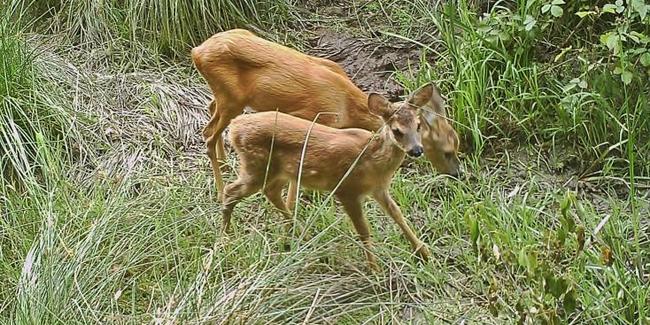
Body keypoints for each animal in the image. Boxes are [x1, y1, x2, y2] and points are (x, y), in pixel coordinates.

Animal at [191, 29, 460, 201]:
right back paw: (220, 191)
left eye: (456, 143)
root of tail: (196, 51)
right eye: (446, 150)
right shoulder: (315, 118)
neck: (348, 105)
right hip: (232, 99)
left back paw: (225, 162)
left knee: (210, 109)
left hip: (225, 96)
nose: (457, 174)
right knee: (207, 134)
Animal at [223, 85, 436, 270]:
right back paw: (225, 239)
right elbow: (363, 230)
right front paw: (376, 271)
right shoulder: (346, 190)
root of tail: (234, 126)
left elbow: (398, 214)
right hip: (256, 165)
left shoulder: (379, 189)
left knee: (270, 191)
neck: (371, 161)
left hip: (279, 171)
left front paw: (425, 254)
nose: (417, 150)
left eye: (418, 125)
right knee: (230, 191)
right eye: (396, 131)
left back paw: (302, 237)